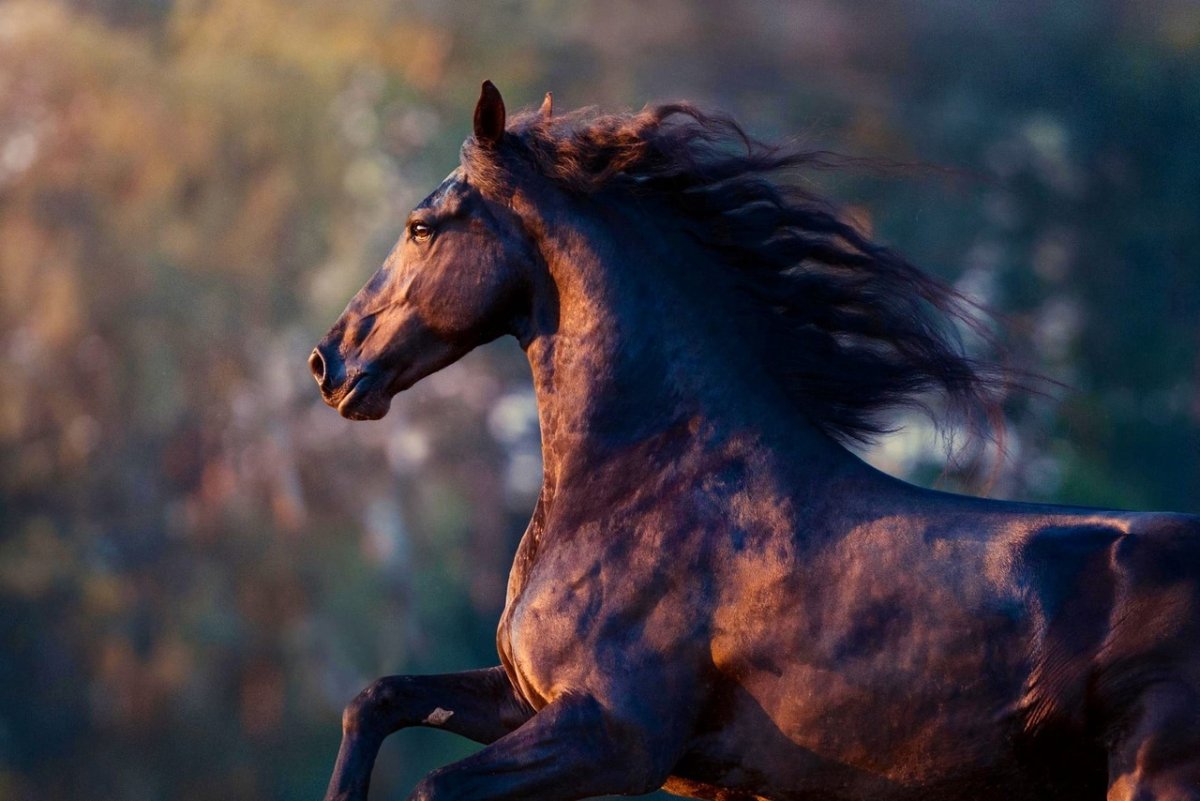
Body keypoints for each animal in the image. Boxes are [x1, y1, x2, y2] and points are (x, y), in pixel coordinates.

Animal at [309, 82, 1200, 801]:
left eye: (421, 227)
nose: (329, 361)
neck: (651, 483)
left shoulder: (609, 735)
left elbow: (431, 782)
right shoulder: (526, 697)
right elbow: (374, 698)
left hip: (1156, 776)